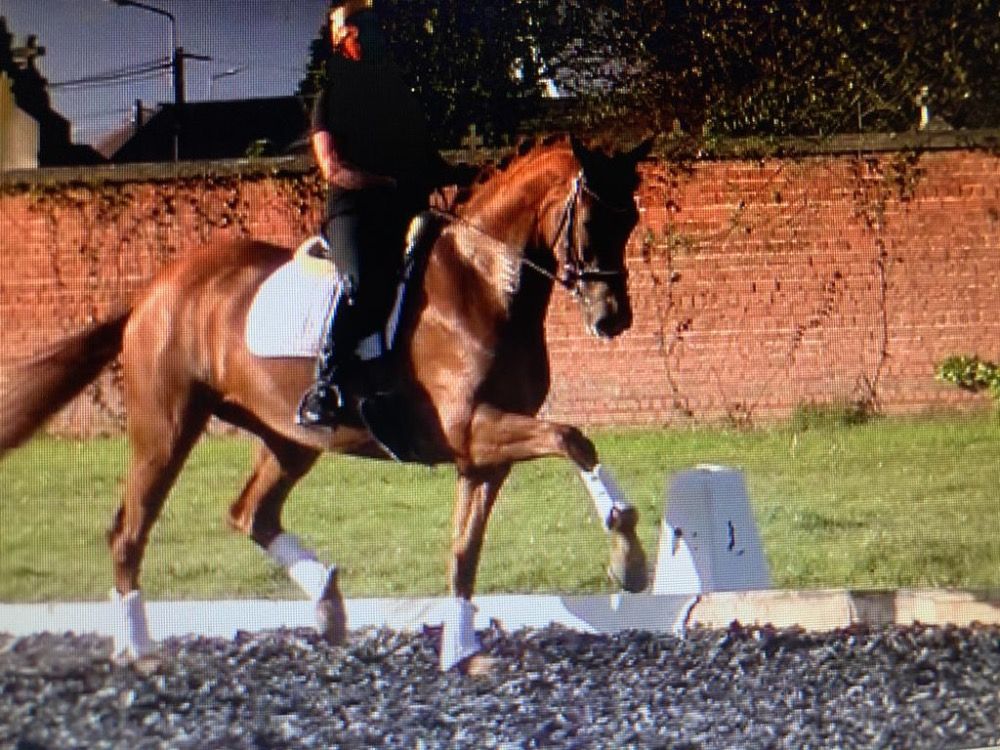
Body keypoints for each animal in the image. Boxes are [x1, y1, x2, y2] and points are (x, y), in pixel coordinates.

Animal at [0, 134, 653, 673]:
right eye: (591, 219)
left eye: (632, 219)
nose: (611, 319)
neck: (485, 282)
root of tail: (154, 291)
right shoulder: (474, 428)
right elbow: (573, 437)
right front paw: (629, 556)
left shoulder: (482, 455)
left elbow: (465, 551)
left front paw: (462, 652)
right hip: (167, 428)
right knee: (129, 531)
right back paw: (137, 649)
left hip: (290, 438)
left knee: (251, 514)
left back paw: (328, 606)